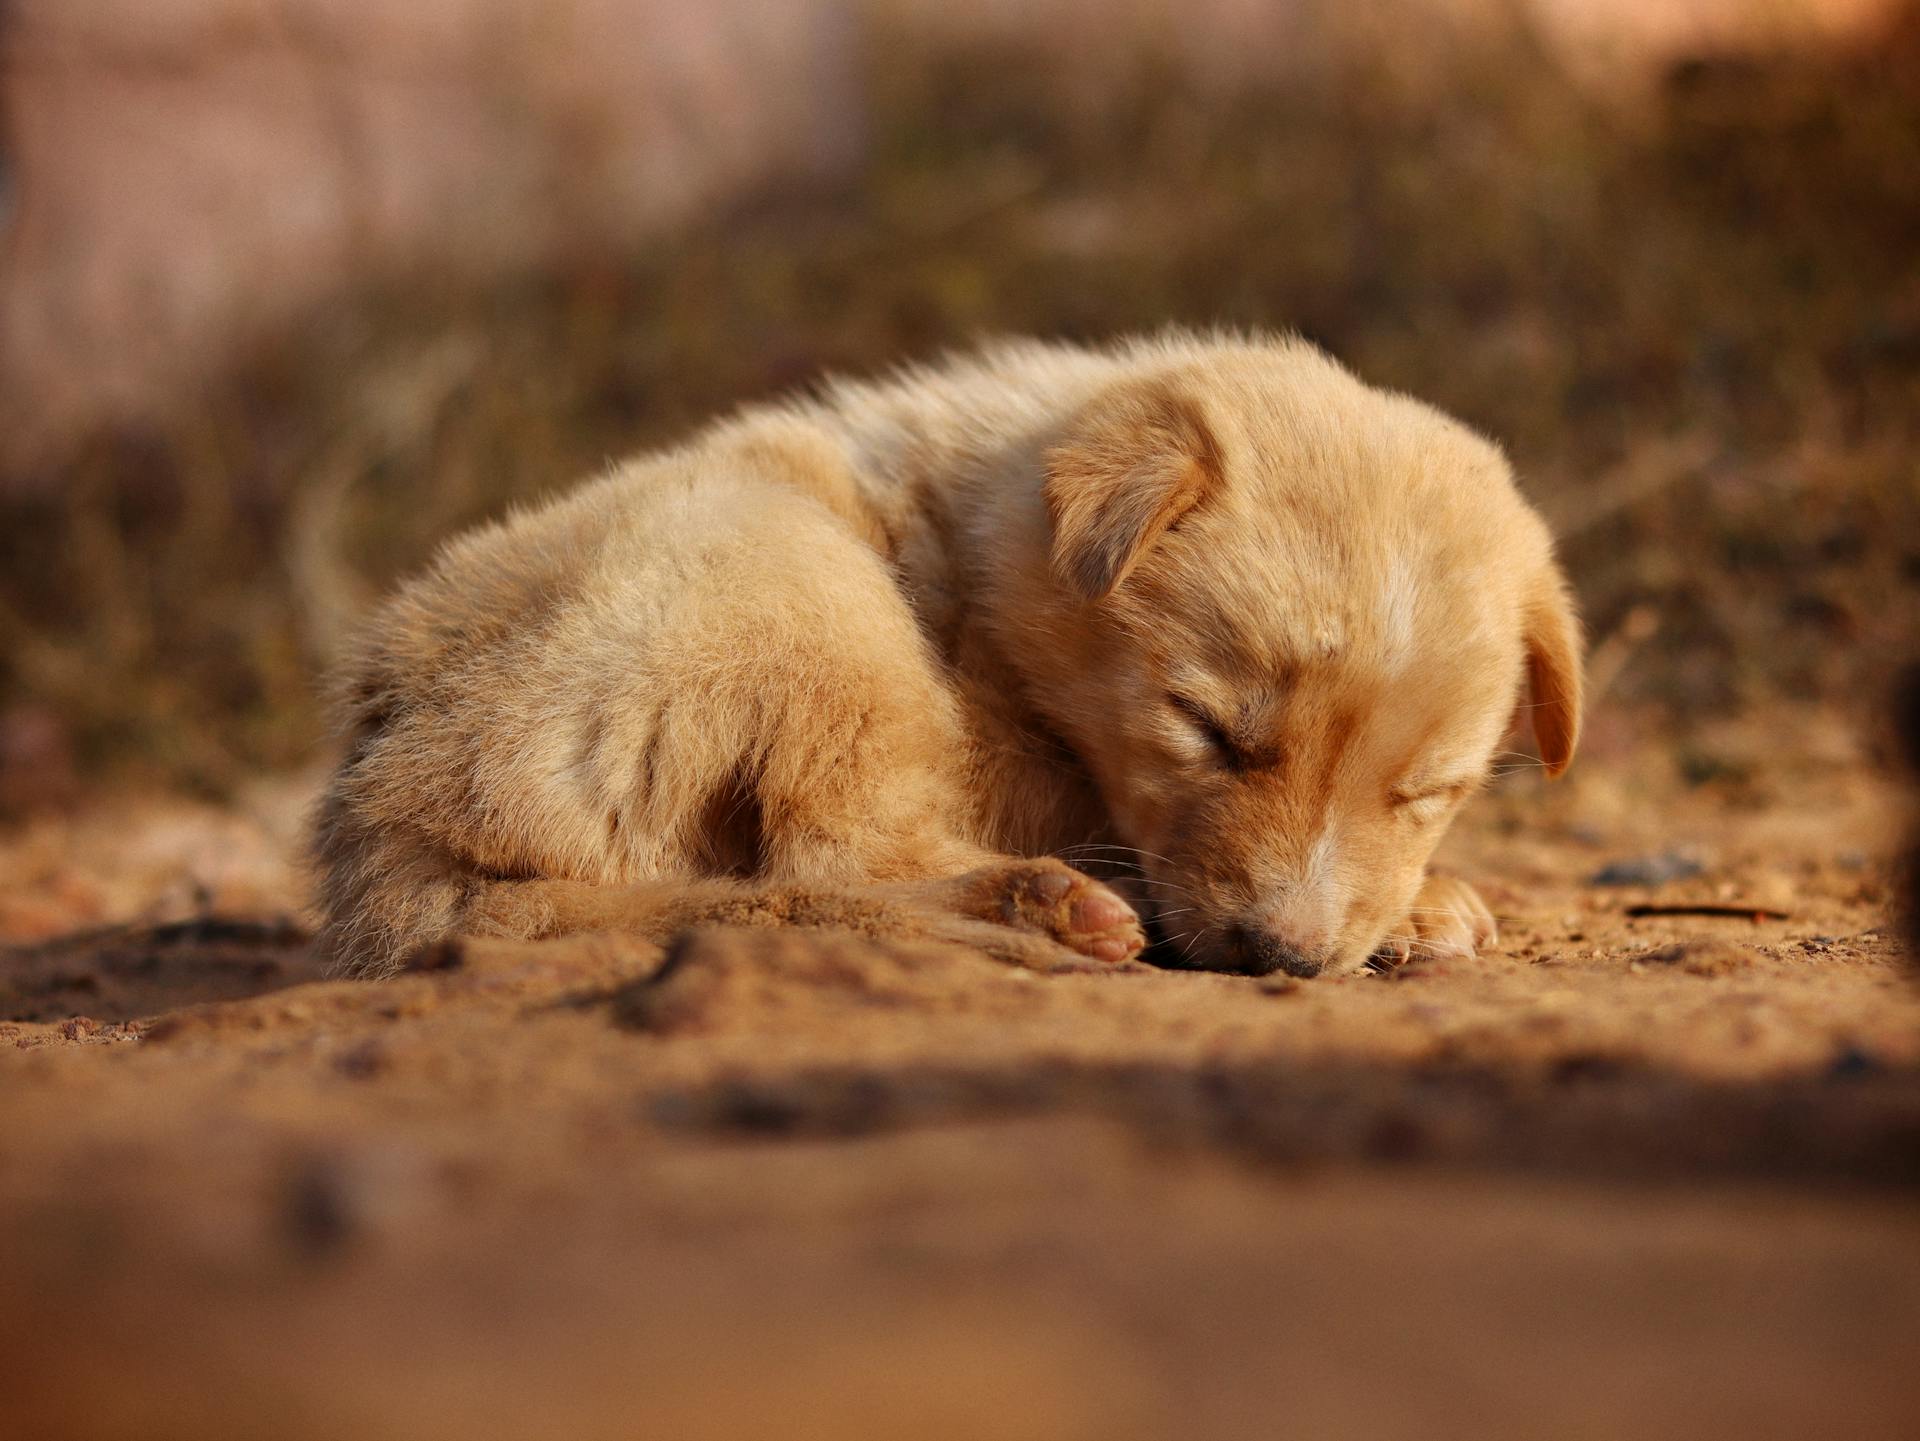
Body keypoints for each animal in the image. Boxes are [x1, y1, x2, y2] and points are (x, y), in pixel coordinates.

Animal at [311, 328, 1574, 982]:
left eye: (1428, 792)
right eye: (1208, 730)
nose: (1283, 957)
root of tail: (384, 832)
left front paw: (1416, 903)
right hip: (794, 574)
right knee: (825, 865)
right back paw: (1037, 909)